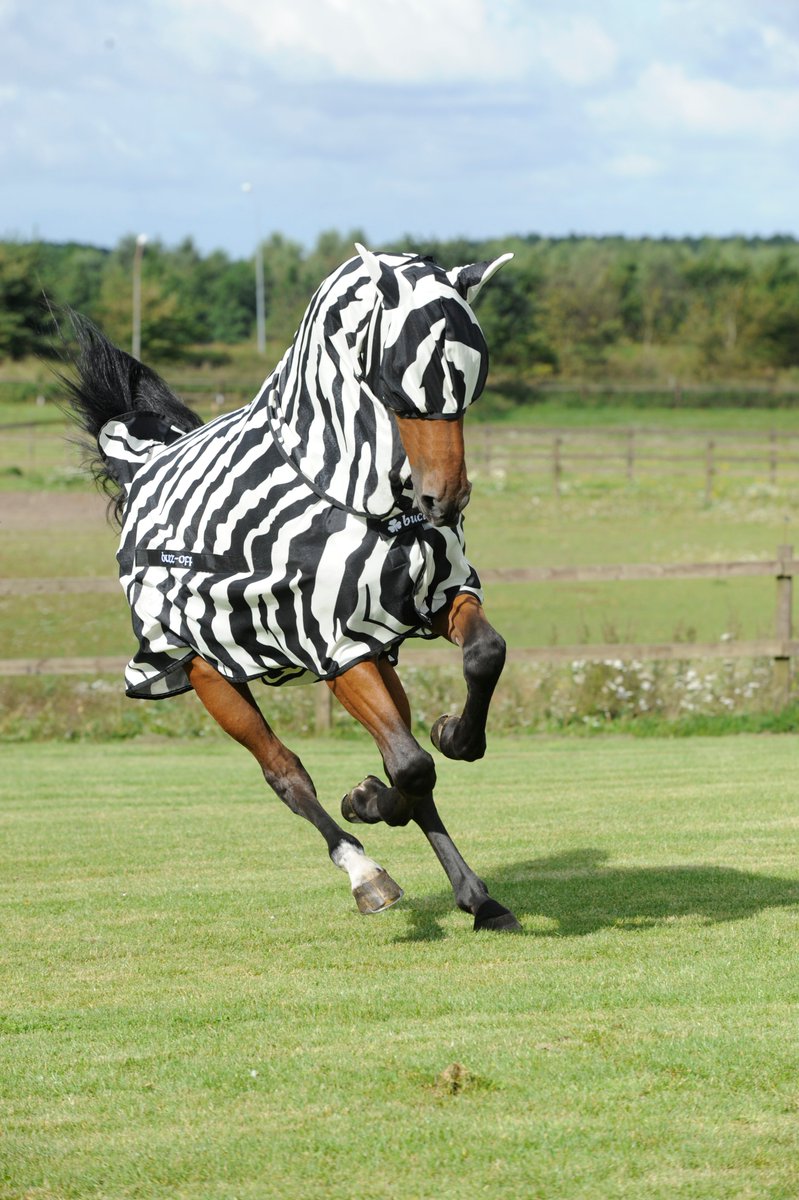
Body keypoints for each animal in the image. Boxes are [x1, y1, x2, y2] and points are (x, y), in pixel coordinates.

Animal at [63, 243, 521, 932]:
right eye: (398, 378)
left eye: (472, 380)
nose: (445, 499)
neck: (349, 497)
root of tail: (142, 466)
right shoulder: (335, 647)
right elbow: (411, 767)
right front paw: (373, 803)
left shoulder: (429, 601)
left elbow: (480, 662)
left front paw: (449, 738)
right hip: (208, 675)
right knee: (288, 774)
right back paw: (366, 874)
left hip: (372, 658)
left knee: (397, 757)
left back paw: (470, 890)